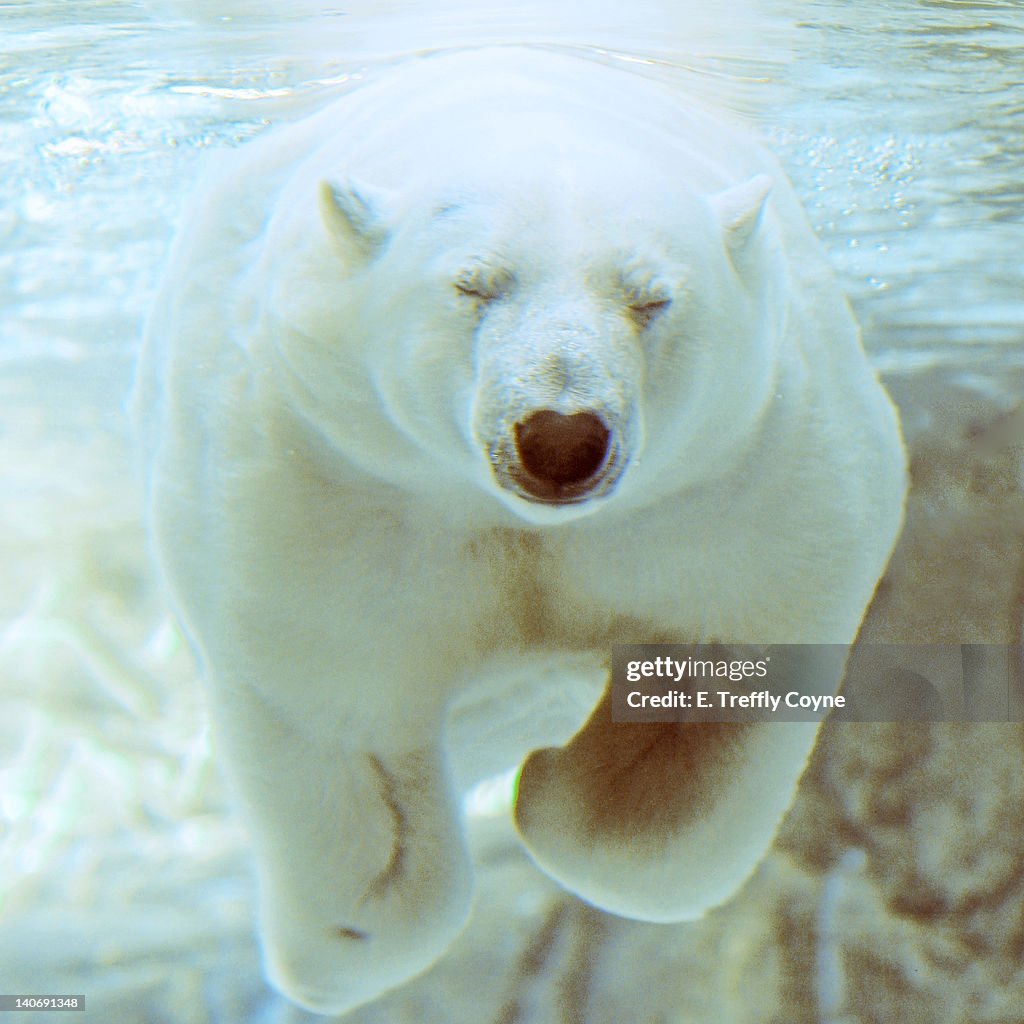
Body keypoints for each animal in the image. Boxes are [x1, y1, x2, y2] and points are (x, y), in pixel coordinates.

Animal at [133, 44, 906, 1015]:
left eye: (650, 299)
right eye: (473, 284)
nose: (562, 437)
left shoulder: (744, 477)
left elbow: (713, 695)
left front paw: (553, 794)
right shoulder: (326, 481)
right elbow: (347, 727)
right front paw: (331, 958)